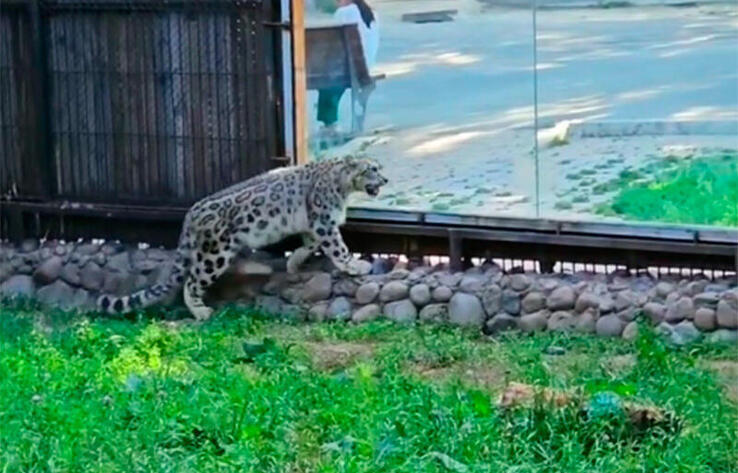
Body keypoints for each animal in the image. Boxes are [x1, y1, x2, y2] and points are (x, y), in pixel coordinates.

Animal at [97, 156, 388, 320]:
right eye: (371, 169)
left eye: (379, 168)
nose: (385, 179)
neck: (343, 188)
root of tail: (190, 214)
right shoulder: (325, 222)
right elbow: (338, 248)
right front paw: (356, 265)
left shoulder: (314, 224)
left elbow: (309, 244)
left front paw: (294, 263)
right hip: (215, 254)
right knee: (191, 281)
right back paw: (201, 312)